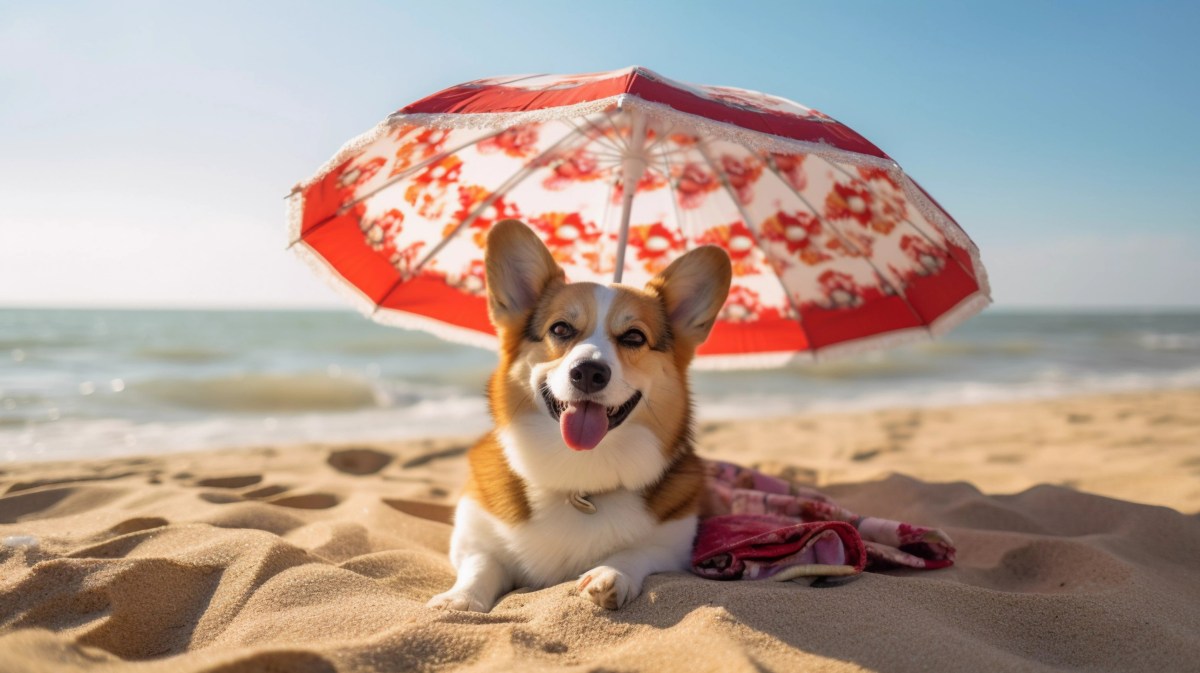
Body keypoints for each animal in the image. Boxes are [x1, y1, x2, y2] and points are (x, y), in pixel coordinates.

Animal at [427, 219, 734, 609]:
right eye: (560, 328)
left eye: (634, 337)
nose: (588, 372)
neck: (578, 479)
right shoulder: (473, 538)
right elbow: (480, 564)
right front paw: (459, 600)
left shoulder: (673, 546)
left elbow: (637, 552)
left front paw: (610, 574)